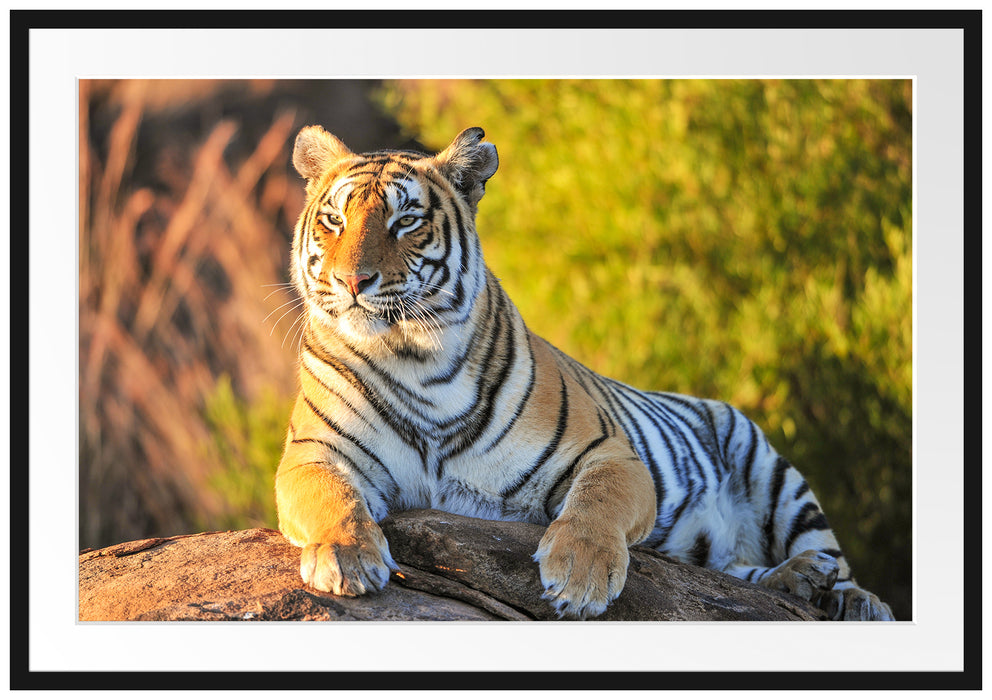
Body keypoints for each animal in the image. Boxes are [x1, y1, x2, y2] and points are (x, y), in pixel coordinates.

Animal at [274, 124, 895, 621]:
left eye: (406, 222)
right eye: (334, 221)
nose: (353, 281)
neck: (412, 359)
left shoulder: (610, 453)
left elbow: (597, 503)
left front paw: (580, 575)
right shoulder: (313, 453)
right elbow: (331, 497)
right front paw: (347, 557)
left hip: (772, 471)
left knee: (830, 558)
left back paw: (848, 596)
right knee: (734, 572)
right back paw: (799, 581)